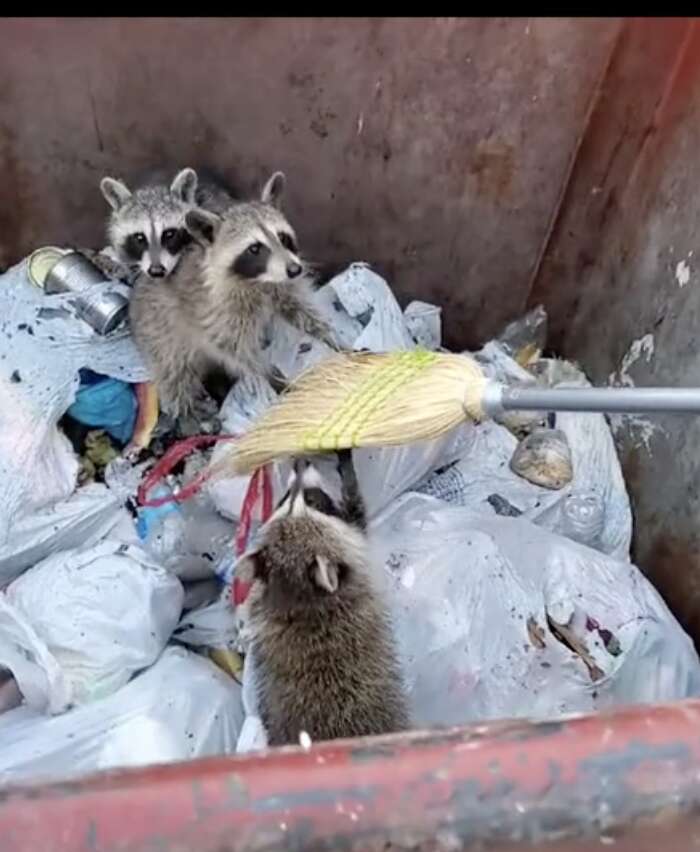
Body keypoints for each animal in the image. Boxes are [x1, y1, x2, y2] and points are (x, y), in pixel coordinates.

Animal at [131, 171, 340, 420]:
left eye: (283, 237)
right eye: (255, 248)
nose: (294, 269)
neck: (259, 281)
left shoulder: (283, 287)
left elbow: (300, 310)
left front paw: (327, 334)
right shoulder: (217, 312)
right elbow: (236, 350)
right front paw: (264, 373)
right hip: (159, 334)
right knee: (175, 376)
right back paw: (187, 410)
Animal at [235, 450, 410, 748]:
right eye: (314, 501)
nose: (299, 462)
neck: (299, 599)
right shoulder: (355, 541)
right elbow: (356, 505)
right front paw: (346, 463)